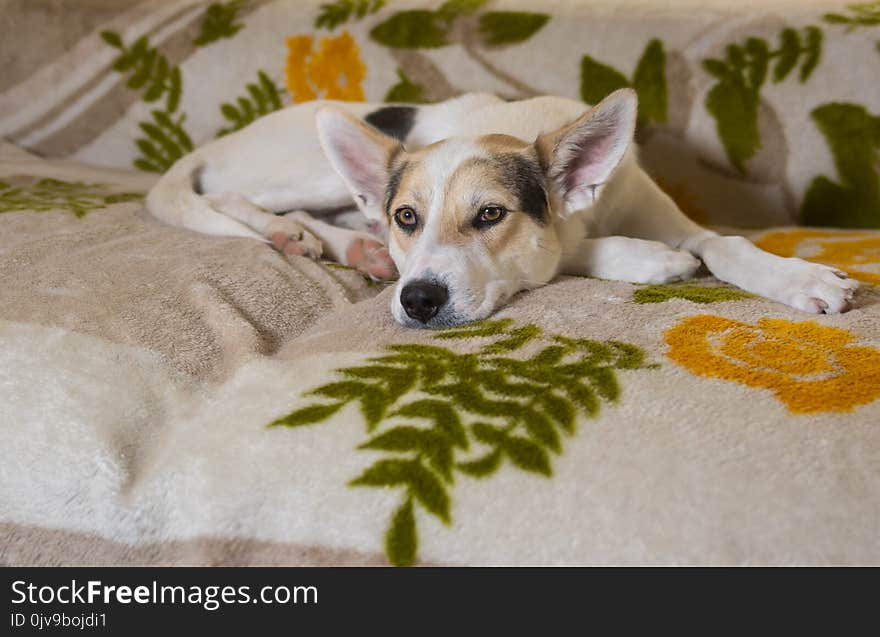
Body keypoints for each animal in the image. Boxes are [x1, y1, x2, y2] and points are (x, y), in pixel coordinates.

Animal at [146, 88, 860, 328]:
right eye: (409, 217)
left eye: (490, 215)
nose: (417, 300)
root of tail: (218, 142)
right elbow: (570, 252)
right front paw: (650, 261)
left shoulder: (664, 212)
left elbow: (725, 243)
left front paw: (801, 277)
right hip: (308, 170)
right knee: (229, 197)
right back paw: (299, 235)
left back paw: (356, 247)